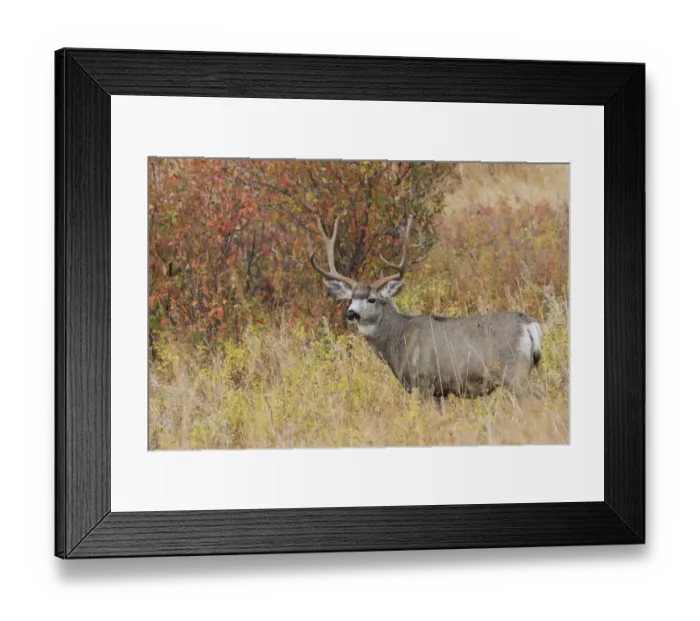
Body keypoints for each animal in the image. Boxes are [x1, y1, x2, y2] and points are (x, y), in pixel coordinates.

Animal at [309, 215, 543, 409]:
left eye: (372, 299)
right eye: (351, 299)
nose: (351, 314)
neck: (397, 338)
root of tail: (529, 325)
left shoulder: (423, 383)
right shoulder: (439, 391)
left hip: (514, 373)